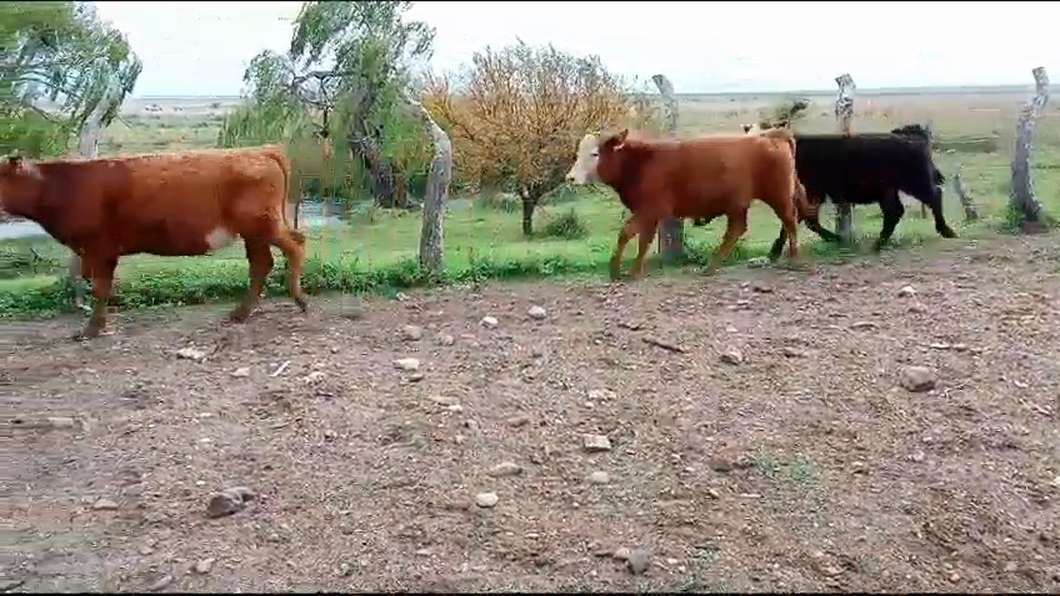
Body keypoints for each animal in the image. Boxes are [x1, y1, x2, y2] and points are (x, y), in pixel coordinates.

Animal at [0, 145, 309, 337]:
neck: (62, 185)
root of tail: (260, 150)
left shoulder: (100, 247)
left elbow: (100, 288)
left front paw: (93, 329)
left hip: (262, 224)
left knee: (295, 245)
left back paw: (300, 299)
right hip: (253, 232)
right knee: (262, 263)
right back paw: (240, 313)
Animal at [568, 128, 805, 277]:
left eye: (594, 153)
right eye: (577, 153)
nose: (570, 178)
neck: (640, 163)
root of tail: (772, 135)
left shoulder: (650, 210)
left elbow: (627, 233)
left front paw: (618, 270)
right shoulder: (649, 215)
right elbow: (643, 240)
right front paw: (633, 270)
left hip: (778, 196)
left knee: (789, 220)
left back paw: (794, 260)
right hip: (738, 204)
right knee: (737, 229)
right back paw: (711, 267)